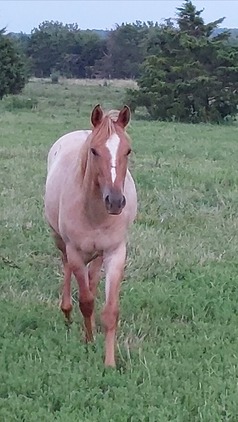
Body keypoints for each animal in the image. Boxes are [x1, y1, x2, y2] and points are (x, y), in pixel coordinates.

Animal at [44, 104, 138, 366]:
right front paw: (89, 340)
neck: (95, 213)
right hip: (60, 241)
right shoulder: (75, 251)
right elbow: (85, 302)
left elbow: (110, 310)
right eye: (94, 151)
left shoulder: (116, 253)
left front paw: (109, 362)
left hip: (98, 254)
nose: (115, 202)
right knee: (66, 267)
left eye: (128, 150)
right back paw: (66, 312)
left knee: (93, 279)